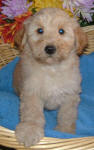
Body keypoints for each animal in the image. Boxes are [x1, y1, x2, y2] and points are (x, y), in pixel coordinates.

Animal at [13, 7, 88, 146]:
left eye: (61, 31)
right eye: (40, 30)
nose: (50, 49)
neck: (51, 68)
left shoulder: (70, 94)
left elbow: (67, 115)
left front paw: (65, 131)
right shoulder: (31, 91)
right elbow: (32, 112)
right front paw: (29, 130)